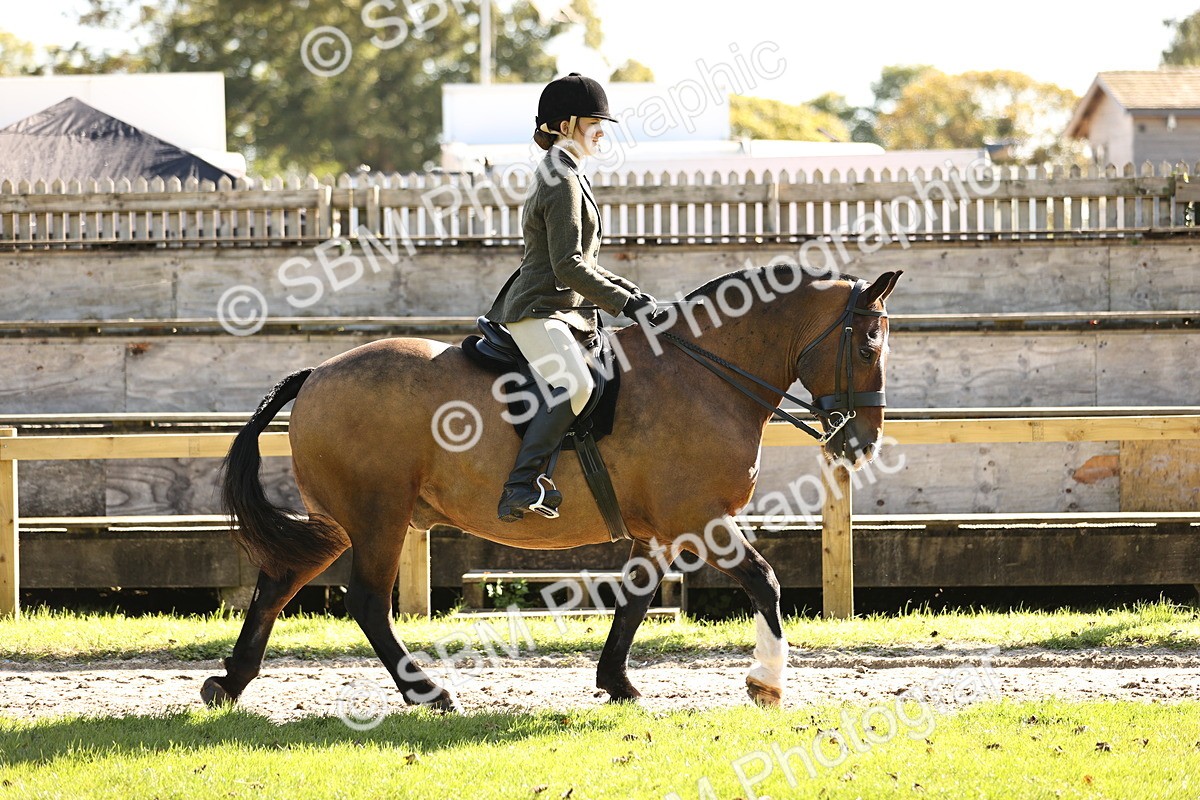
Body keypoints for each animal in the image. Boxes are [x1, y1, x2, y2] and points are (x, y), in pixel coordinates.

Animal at [202, 265, 902, 712]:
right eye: (869, 344)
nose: (862, 441)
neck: (704, 374)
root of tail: (316, 372)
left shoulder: (661, 531)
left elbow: (634, 600)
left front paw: (617, 682)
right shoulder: (699, 518)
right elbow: (766, 581)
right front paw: (767, 684)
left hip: (343, 520)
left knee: (279, 582)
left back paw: (229, 684)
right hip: (378, 518)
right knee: (368, 602)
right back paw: (429, 692)